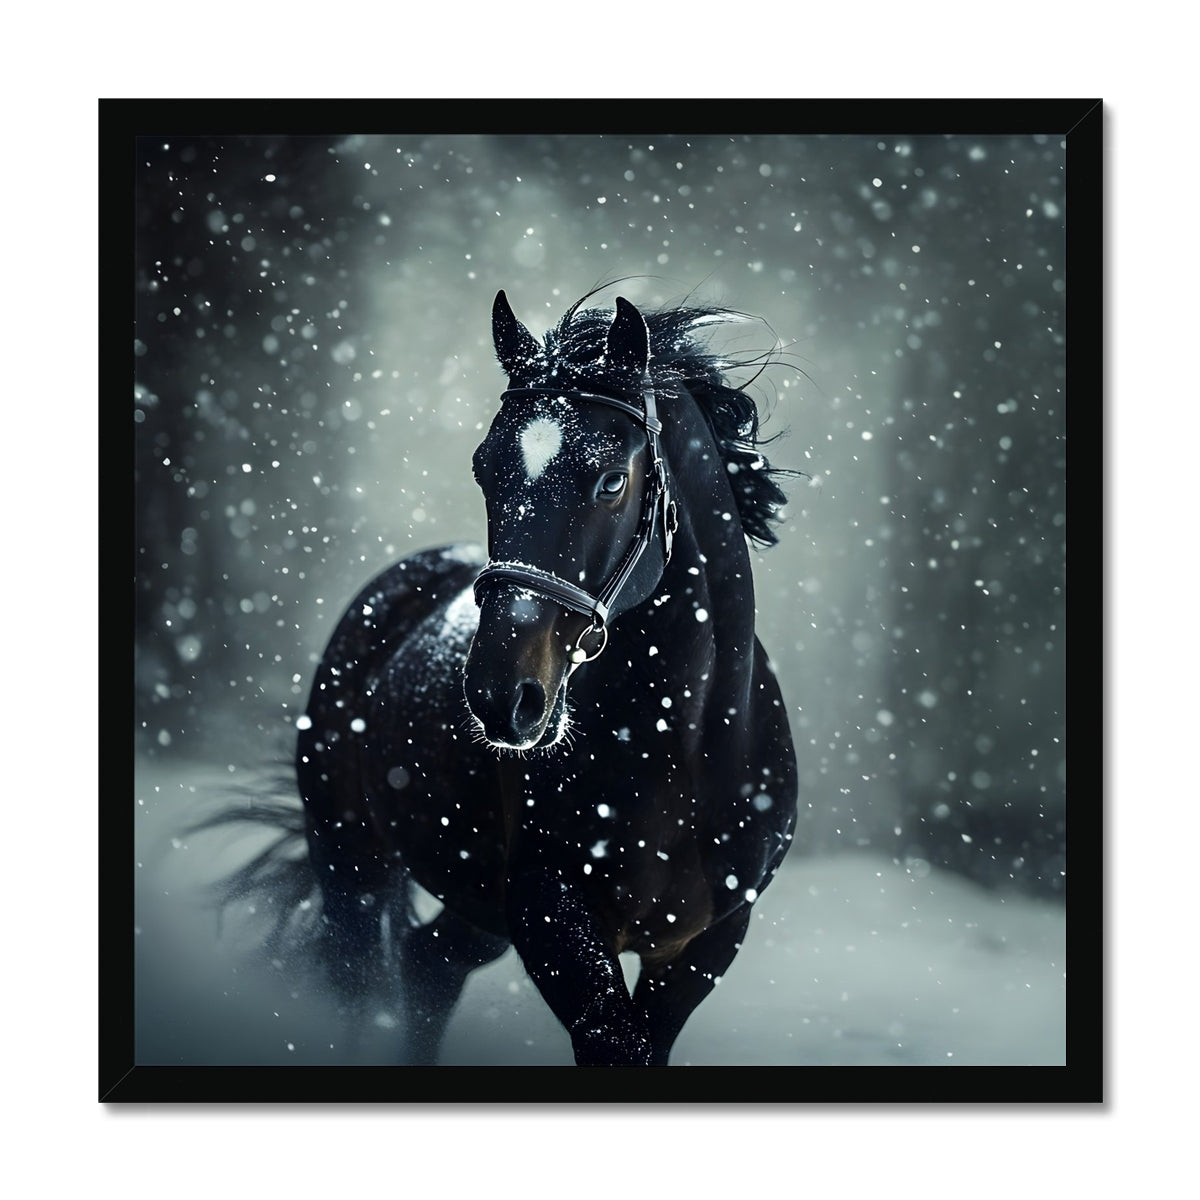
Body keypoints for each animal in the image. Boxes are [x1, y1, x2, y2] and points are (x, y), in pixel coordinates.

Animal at [295, 287, 798, 1065]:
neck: (680, 751)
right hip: (350, 860)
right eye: (484, 469)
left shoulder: (705, 945)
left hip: (471, 905)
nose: (500, 698)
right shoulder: (549, 916)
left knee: (428, 964)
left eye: (612, 478)